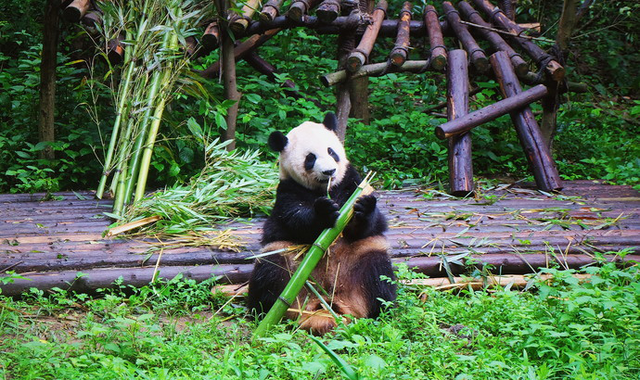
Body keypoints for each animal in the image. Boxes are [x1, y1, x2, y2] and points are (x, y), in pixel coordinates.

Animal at [246, 111, 392, 334]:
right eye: (310, 158)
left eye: (331, 151)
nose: (329, 171)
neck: (326, 188)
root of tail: (324, 304)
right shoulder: (288, 190)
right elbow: (295, 220)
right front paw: (324, 211)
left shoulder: (351, 181)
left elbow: (369, 225)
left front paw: (363, 207)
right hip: (285, 258)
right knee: (270, 272)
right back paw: (266, 313)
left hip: (363, 256)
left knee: (378, 274)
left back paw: (380, 312)